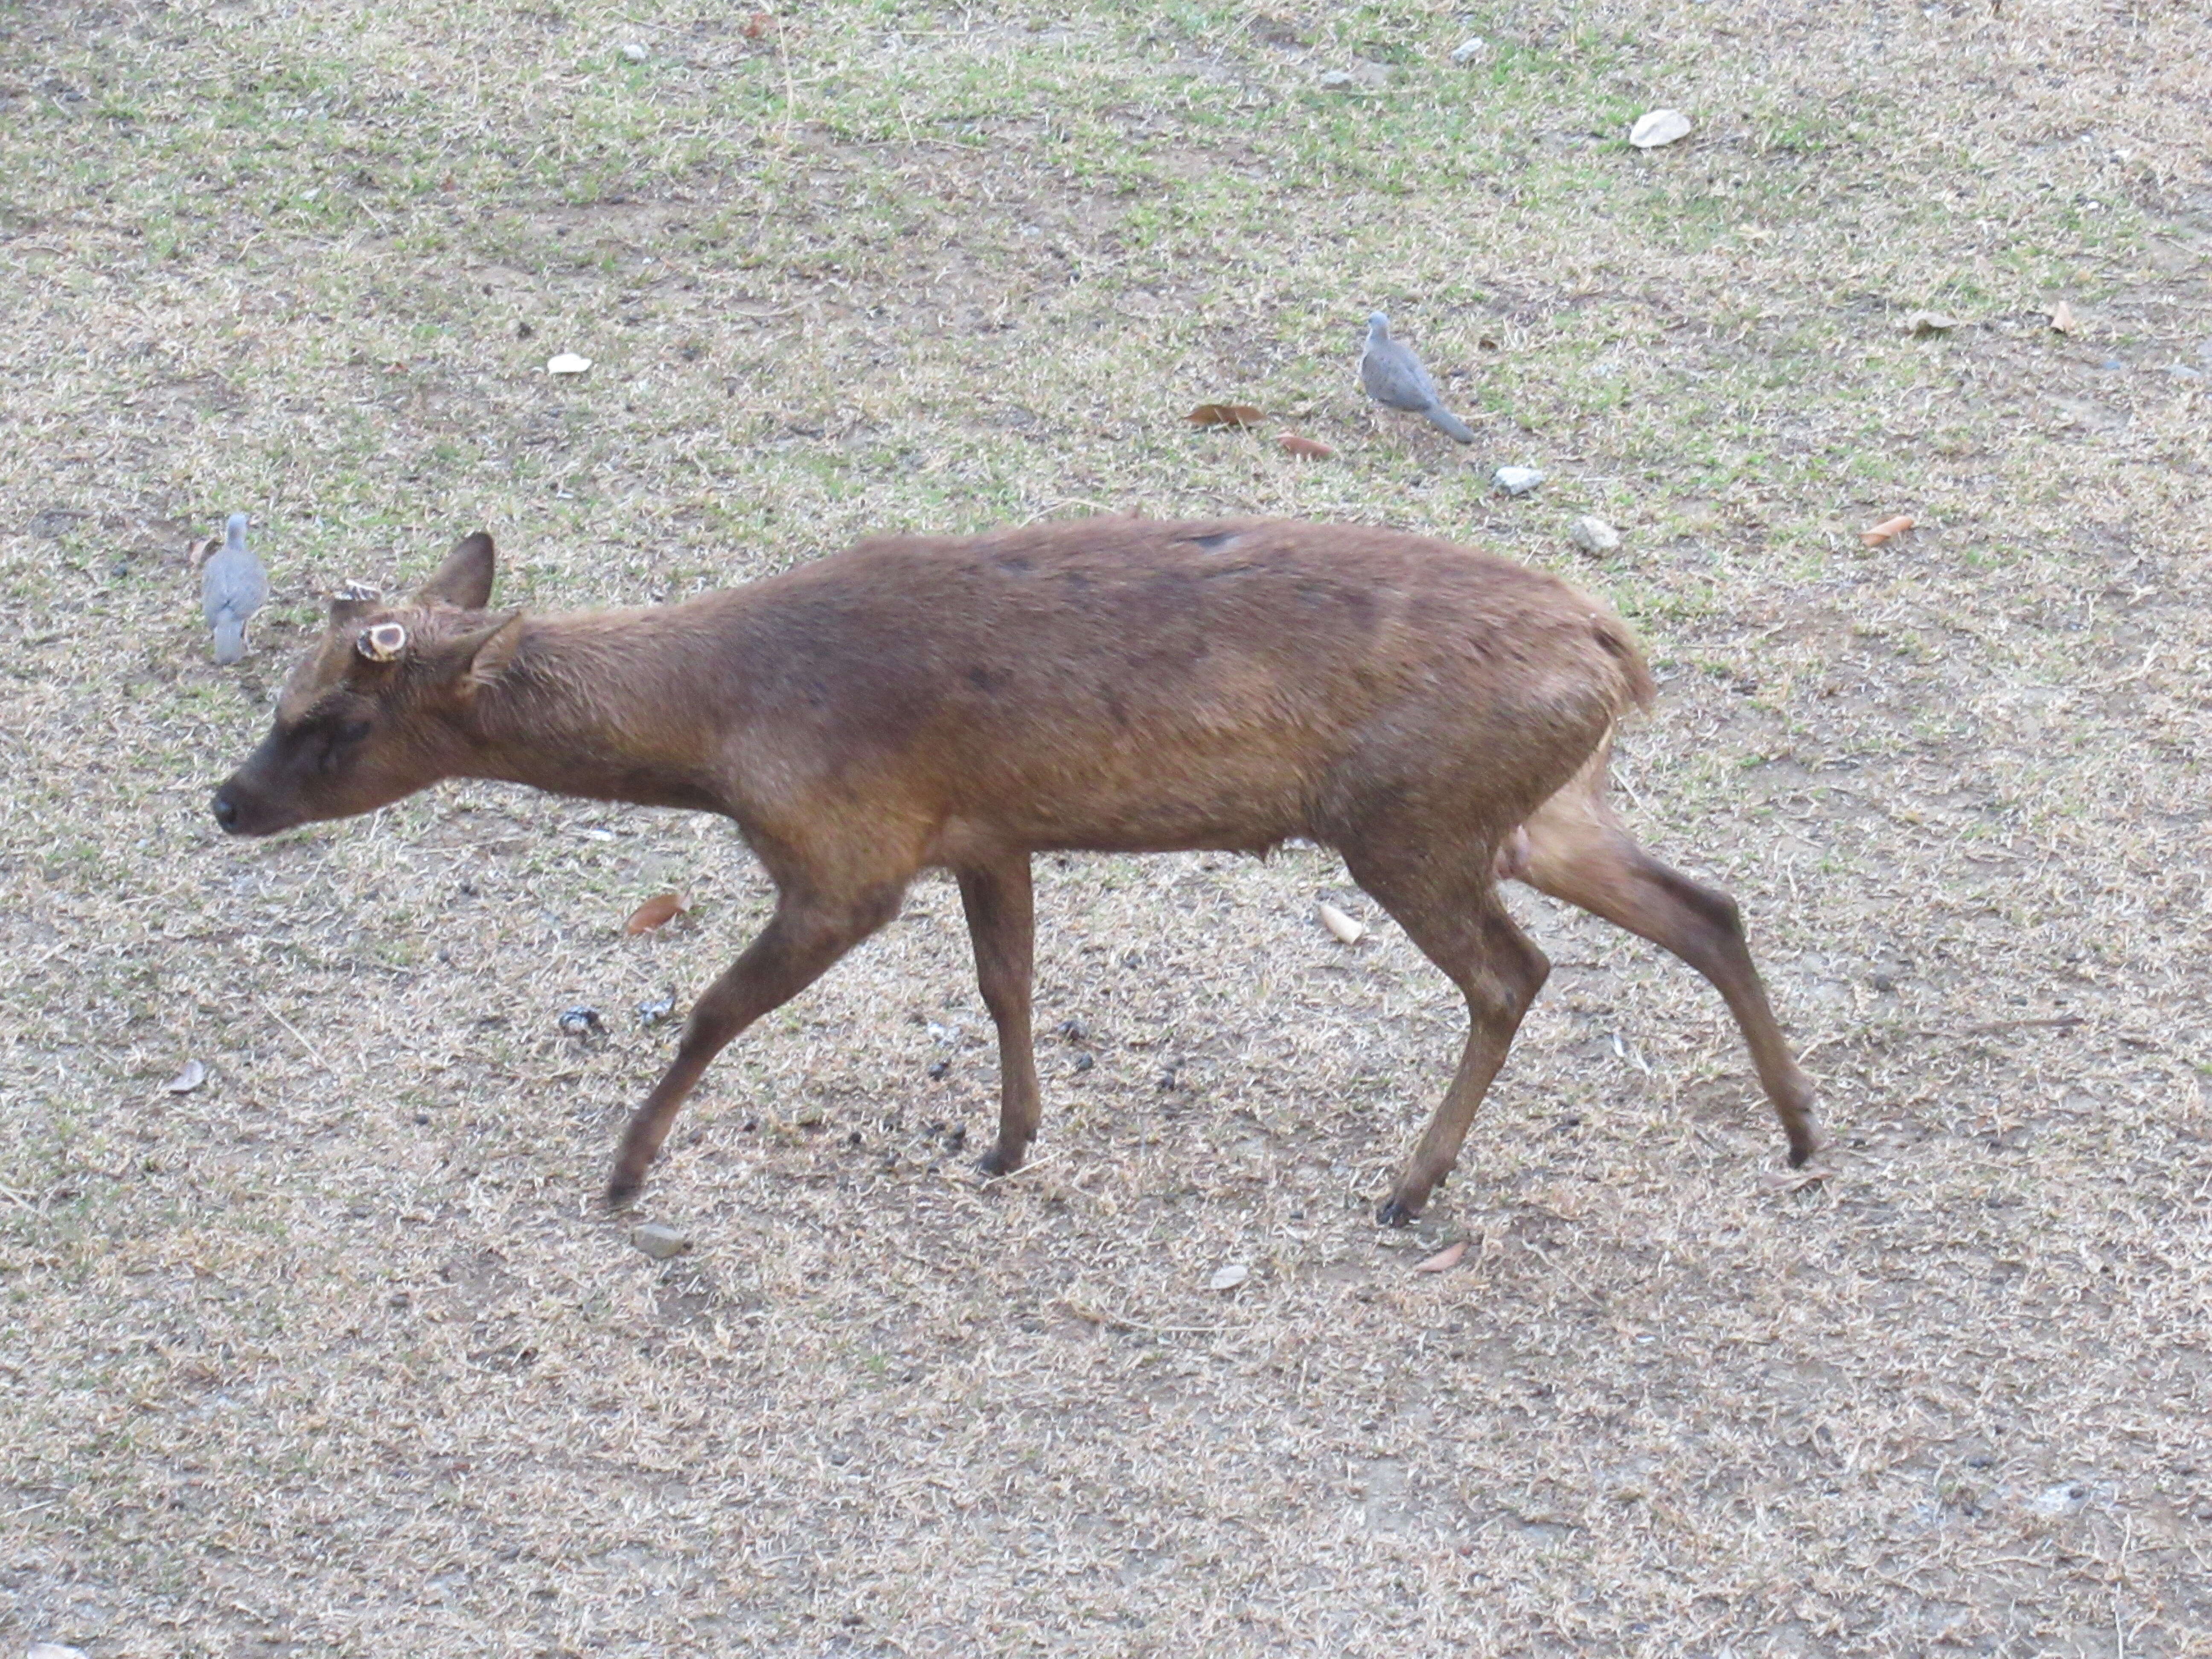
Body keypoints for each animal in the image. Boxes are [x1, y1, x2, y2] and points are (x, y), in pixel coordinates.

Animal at [215, 518, 1822, 1221]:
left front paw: (623, 1169)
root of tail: (1616, 649)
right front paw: (1006, 1140)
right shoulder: (986, 832)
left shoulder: (846, 853)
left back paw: (1409, 1186)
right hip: (1537, 811)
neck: (722, 730)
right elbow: (1007, 984)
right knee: (1707, 905)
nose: (227, 802)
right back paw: (1804, 1131)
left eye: (332, 719)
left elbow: (714, 1007)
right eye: (281, 695)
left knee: (1516, 971)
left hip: (1408, 822)